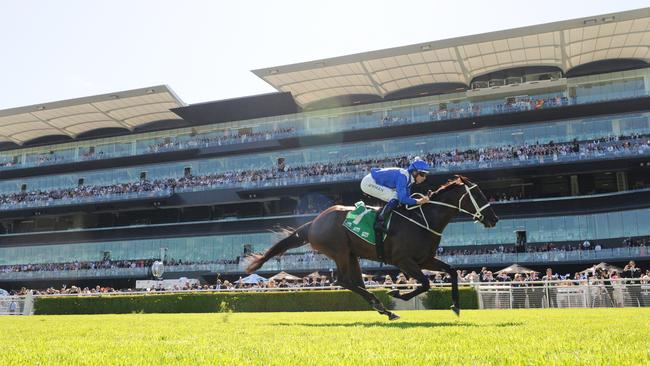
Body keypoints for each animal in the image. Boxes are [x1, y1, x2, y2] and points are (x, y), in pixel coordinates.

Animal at [246, 175, 498, 320]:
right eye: (477, 194)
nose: (494, 218)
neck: (423, 218)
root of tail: (313, 223)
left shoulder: (425, 259)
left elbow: (452, 272)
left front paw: (455, 305)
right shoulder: (403, 261)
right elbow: (425, 283)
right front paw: (397, 292)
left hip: (351, 254)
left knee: (355, 282)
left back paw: (384, 309)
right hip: (339, 251)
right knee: (344, 281)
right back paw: (382, 305)